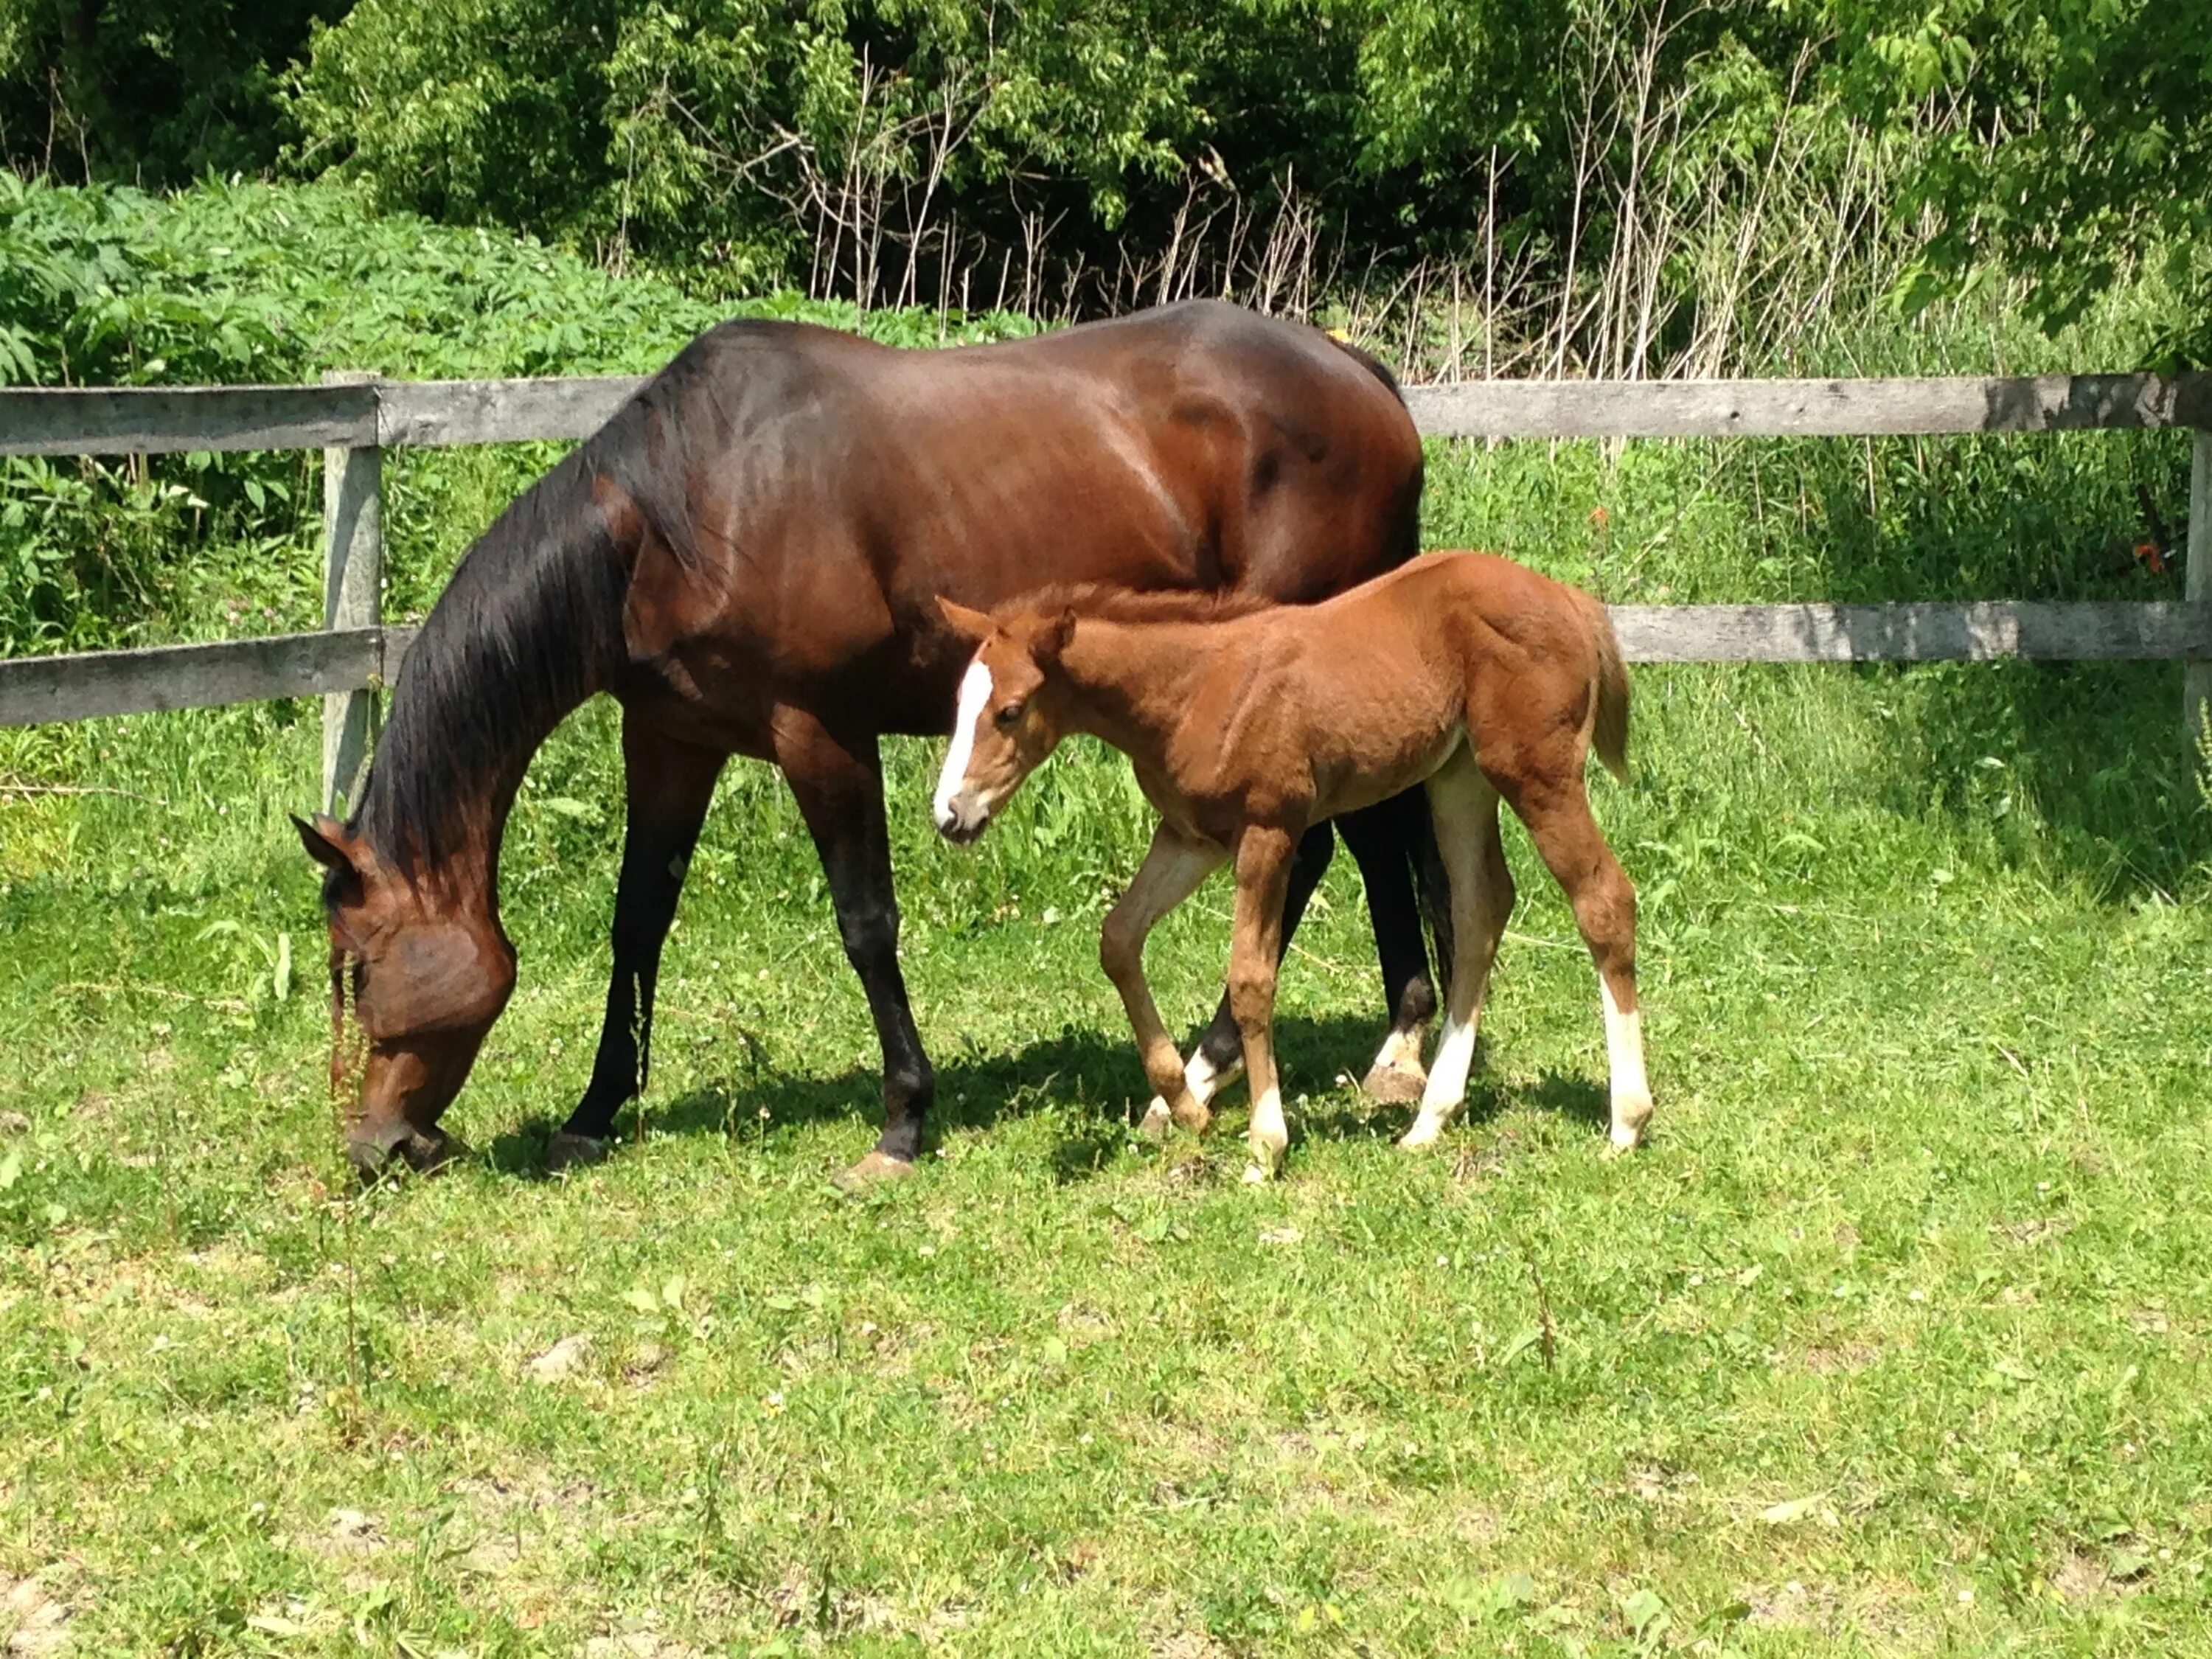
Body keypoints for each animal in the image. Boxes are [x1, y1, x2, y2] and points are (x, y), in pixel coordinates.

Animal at [294, 305, 1442, 1186]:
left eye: (359, 968)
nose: (374, 1145)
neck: (686, 511)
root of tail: (1359, 373)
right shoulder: (669, 737)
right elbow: (638, 921)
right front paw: (594, 1109)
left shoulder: (821, 734)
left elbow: (865, 925)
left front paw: (902, 1119)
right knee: (1367, 839)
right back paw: (1363, 1054)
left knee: (1333, 846)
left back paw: (1247, 1068)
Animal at [925, 555, 1655, 1186]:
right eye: (958, 703)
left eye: (1010, 711)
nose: (950, 814)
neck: (1192, 689)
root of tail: (1571, 600)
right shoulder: (1190, 837)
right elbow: (1119, 938)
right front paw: (1183, 1103)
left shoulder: (1269, 830)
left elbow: (1251, 978)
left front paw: (1264, 1145)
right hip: (1459, 777)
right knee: (1481, 908)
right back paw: (1429, 1121)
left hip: (1537, 774)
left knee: (1602, 898)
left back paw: (1626, 1121)